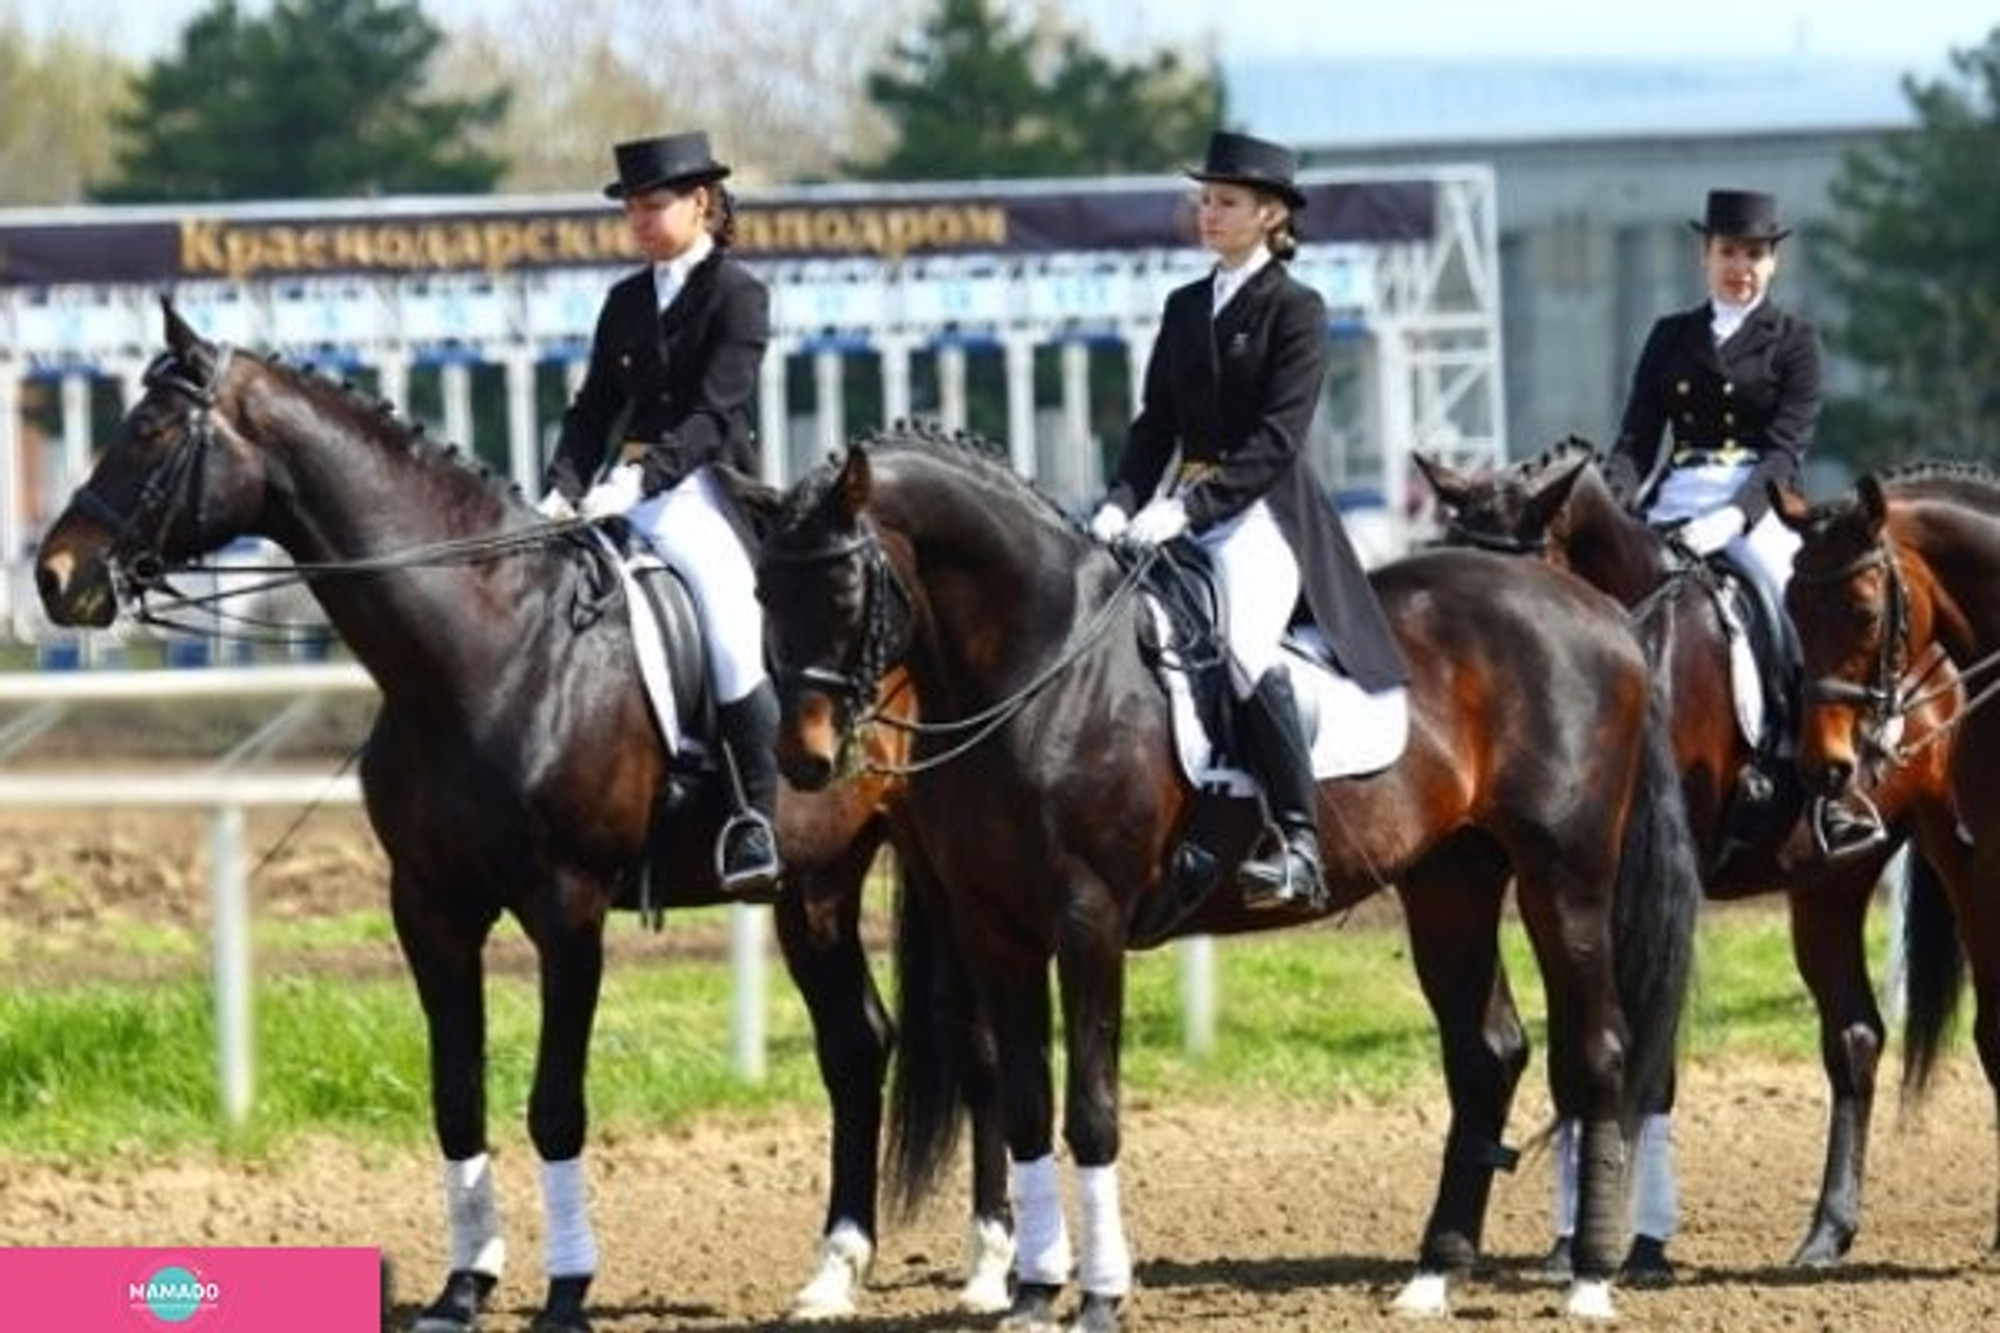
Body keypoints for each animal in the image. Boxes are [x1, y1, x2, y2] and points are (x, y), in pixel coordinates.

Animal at [35, 304, 1016, 1328]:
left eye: (150, 431)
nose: (55, 575)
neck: (487, 647)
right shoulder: (428, 906)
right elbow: (455, 1097)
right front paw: (463, 1285)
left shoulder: (567, 904)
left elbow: (554, 1103)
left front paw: (566, 1290)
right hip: (815, 882)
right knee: (858, 1045)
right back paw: (834, 1271)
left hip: (945, 867)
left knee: (982, 1042)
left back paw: (992, 1266)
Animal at [752, 428, 1704, 1328]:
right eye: (763, 593)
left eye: (844, 591)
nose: (800, 760)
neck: (1042, 667)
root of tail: (1604, 616)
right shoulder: (996, 930)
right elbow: (1025, 1104)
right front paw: (1032, 1293)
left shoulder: (1088, 919)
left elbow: (1091, 1109)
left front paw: (1099, 1297)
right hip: (1451, 882)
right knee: (1488, 1053)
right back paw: (1434, 1275)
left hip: (1565, 875)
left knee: (1598, 1048)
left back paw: (1590, 1279)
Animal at [1432, 440, 1976, 1264]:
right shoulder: (1560, 883)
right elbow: (1577, 1050)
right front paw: (1572, 1240)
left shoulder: (1658, 889)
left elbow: (1647, 1061)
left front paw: (1640, 1246)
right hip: (1828, 884)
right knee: (1854, 1035)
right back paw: (1827, 1231)